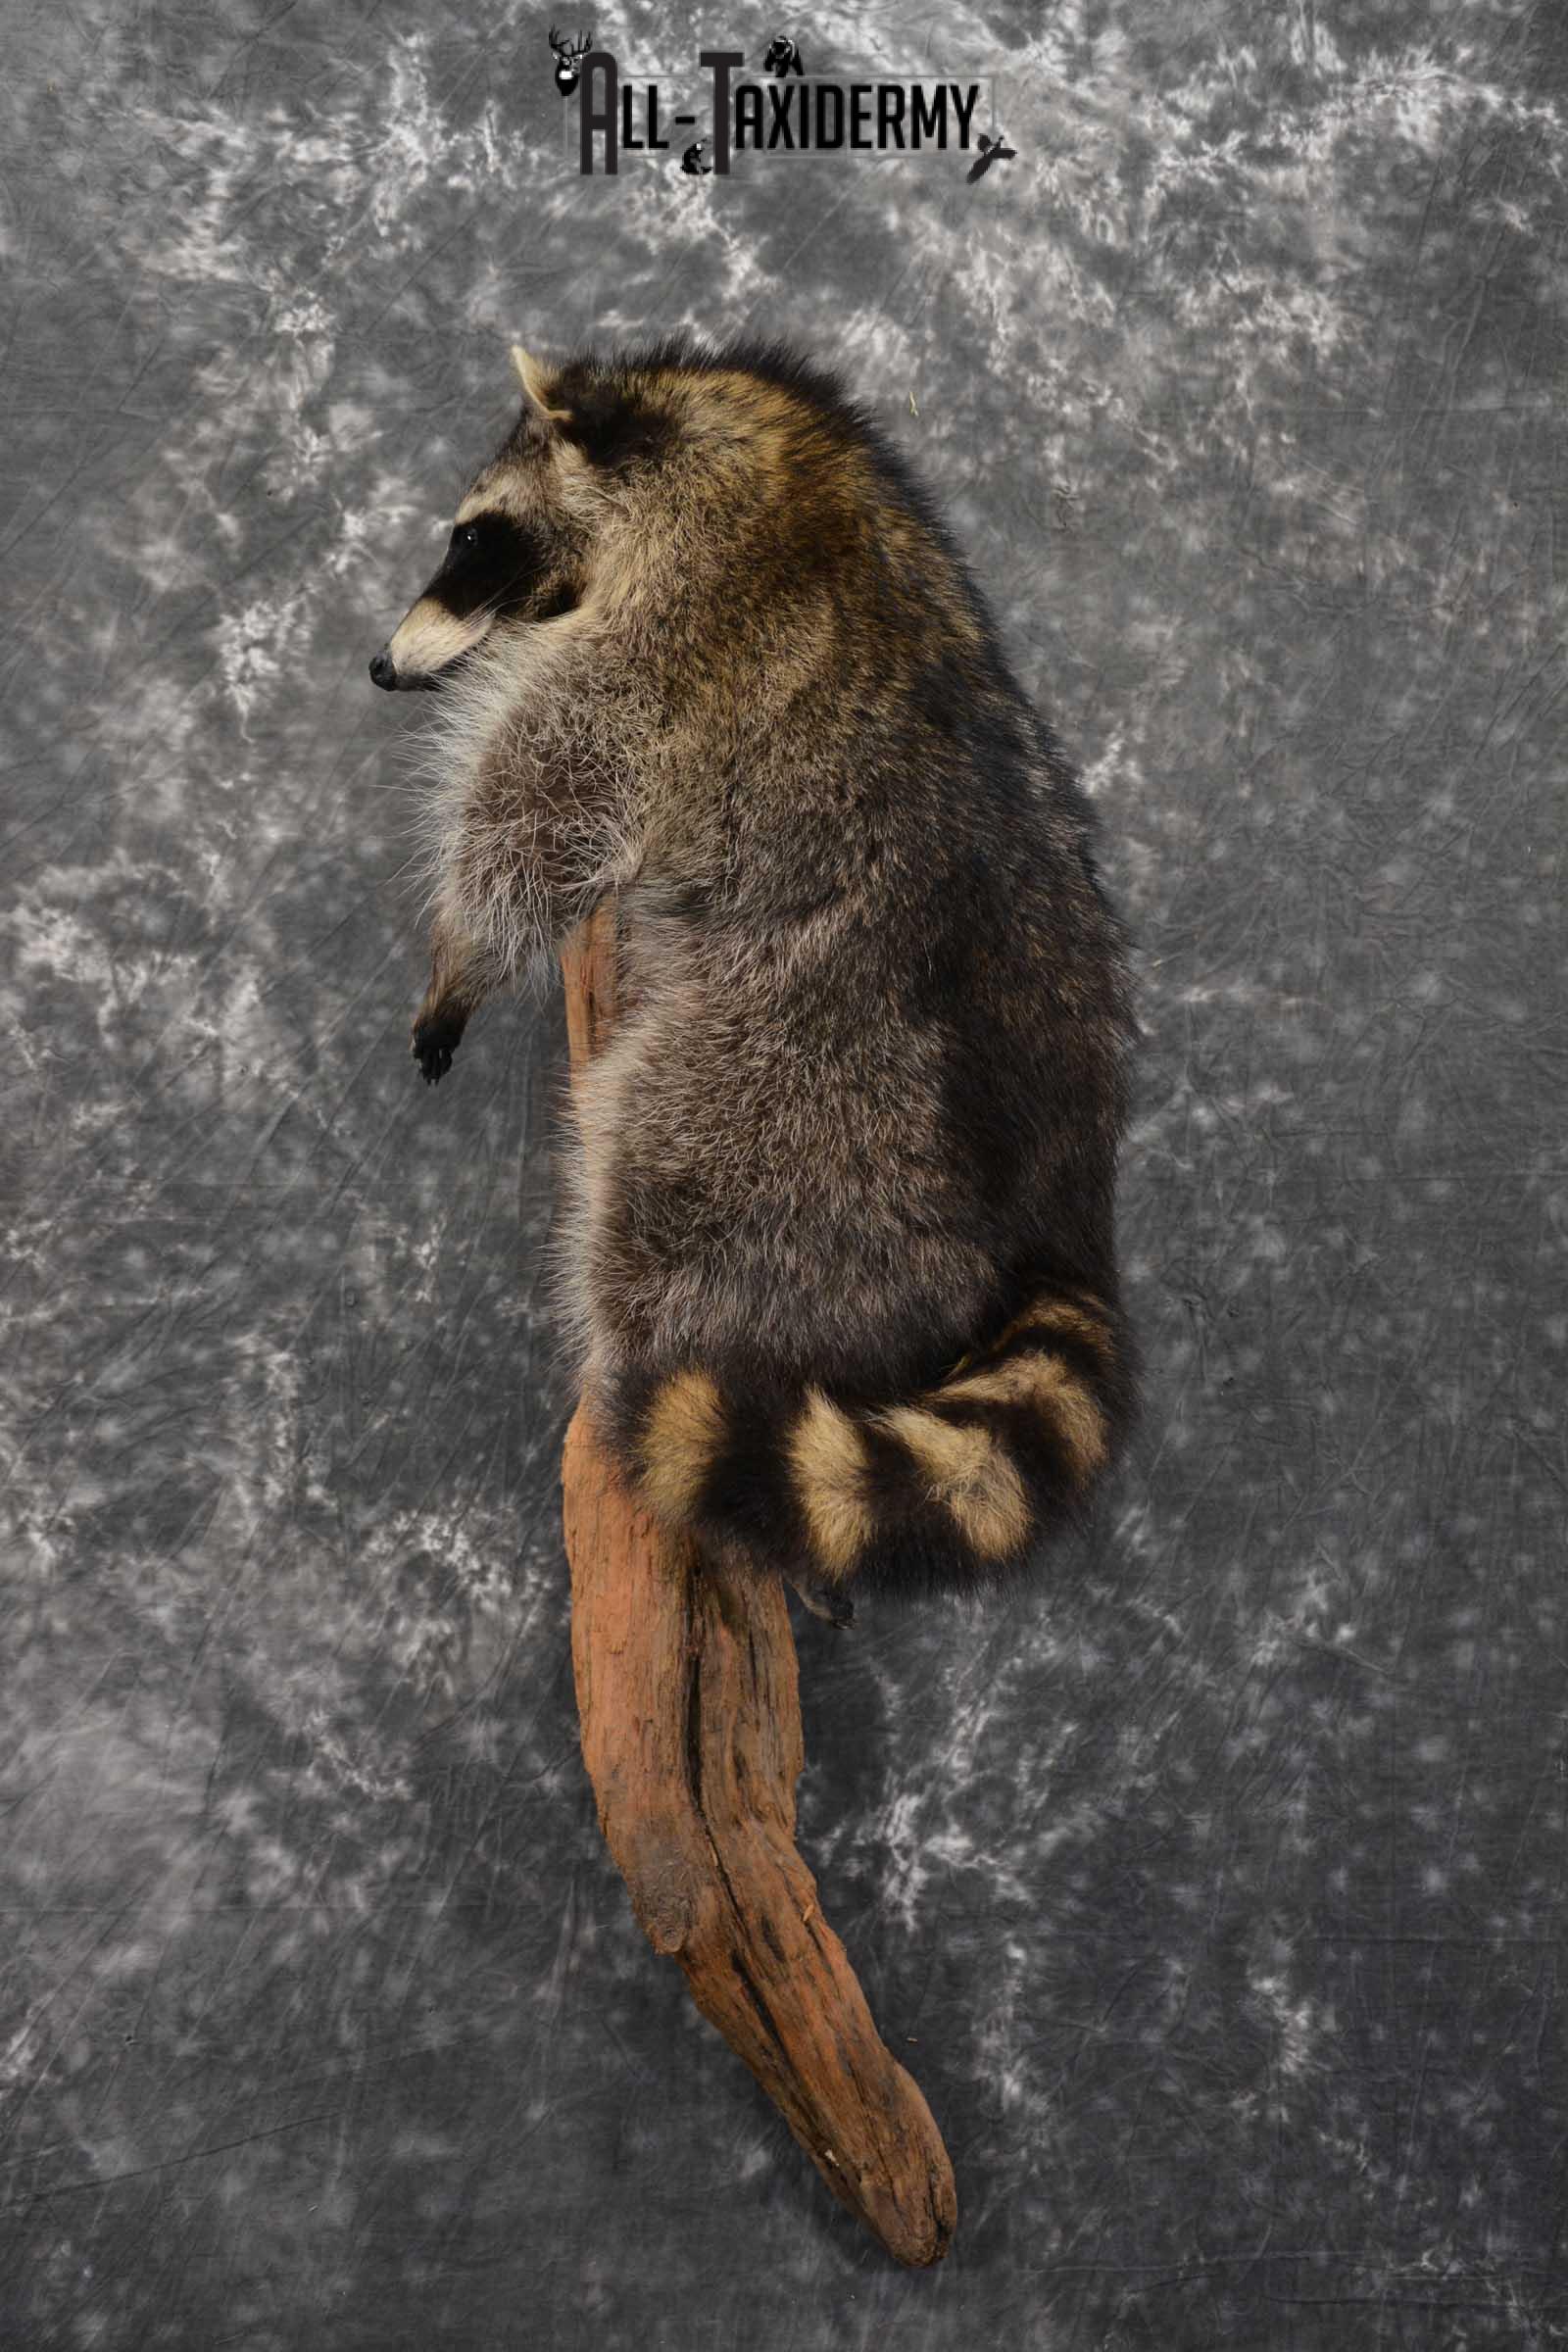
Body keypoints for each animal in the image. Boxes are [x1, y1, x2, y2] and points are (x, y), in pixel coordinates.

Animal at [370, 334, 1138, 1606]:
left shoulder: (676, 637)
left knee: (651, 1191)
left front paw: (461, 962)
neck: (711, 427)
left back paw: (625, 1378)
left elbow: (539, 811)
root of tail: (1062, 1210)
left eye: (474, 537)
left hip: (792, 1103)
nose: (379, 668)